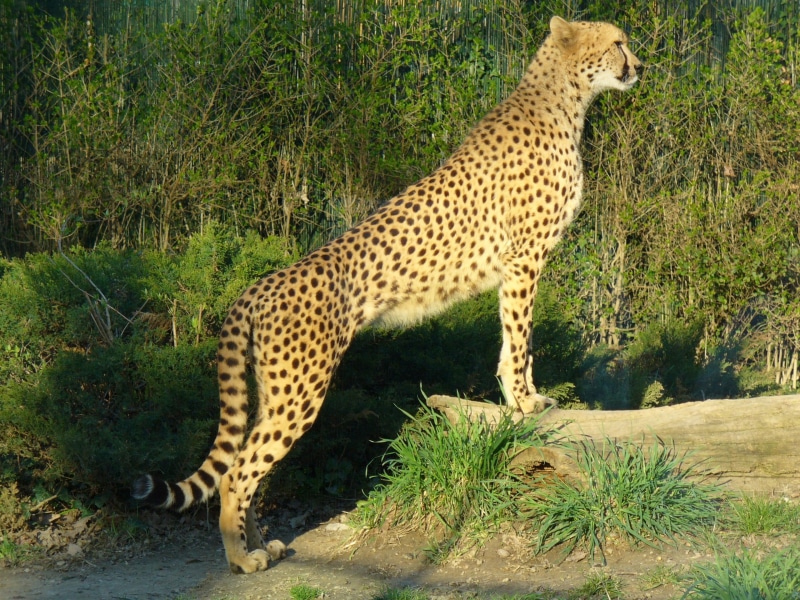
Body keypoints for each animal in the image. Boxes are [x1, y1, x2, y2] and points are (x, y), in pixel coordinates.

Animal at [132, 16, 642, 574]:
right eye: (618, 43)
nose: (639, 67)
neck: (564, 98)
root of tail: (259, 283)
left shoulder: (515, 266)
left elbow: (512, 343)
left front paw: (517, 401)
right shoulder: (524, 259)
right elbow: (520, 338)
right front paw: (526, 402)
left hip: (273, 388)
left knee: (247, 461)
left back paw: (262, 543)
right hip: (300, 390)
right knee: (235, 472)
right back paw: (240, 558)